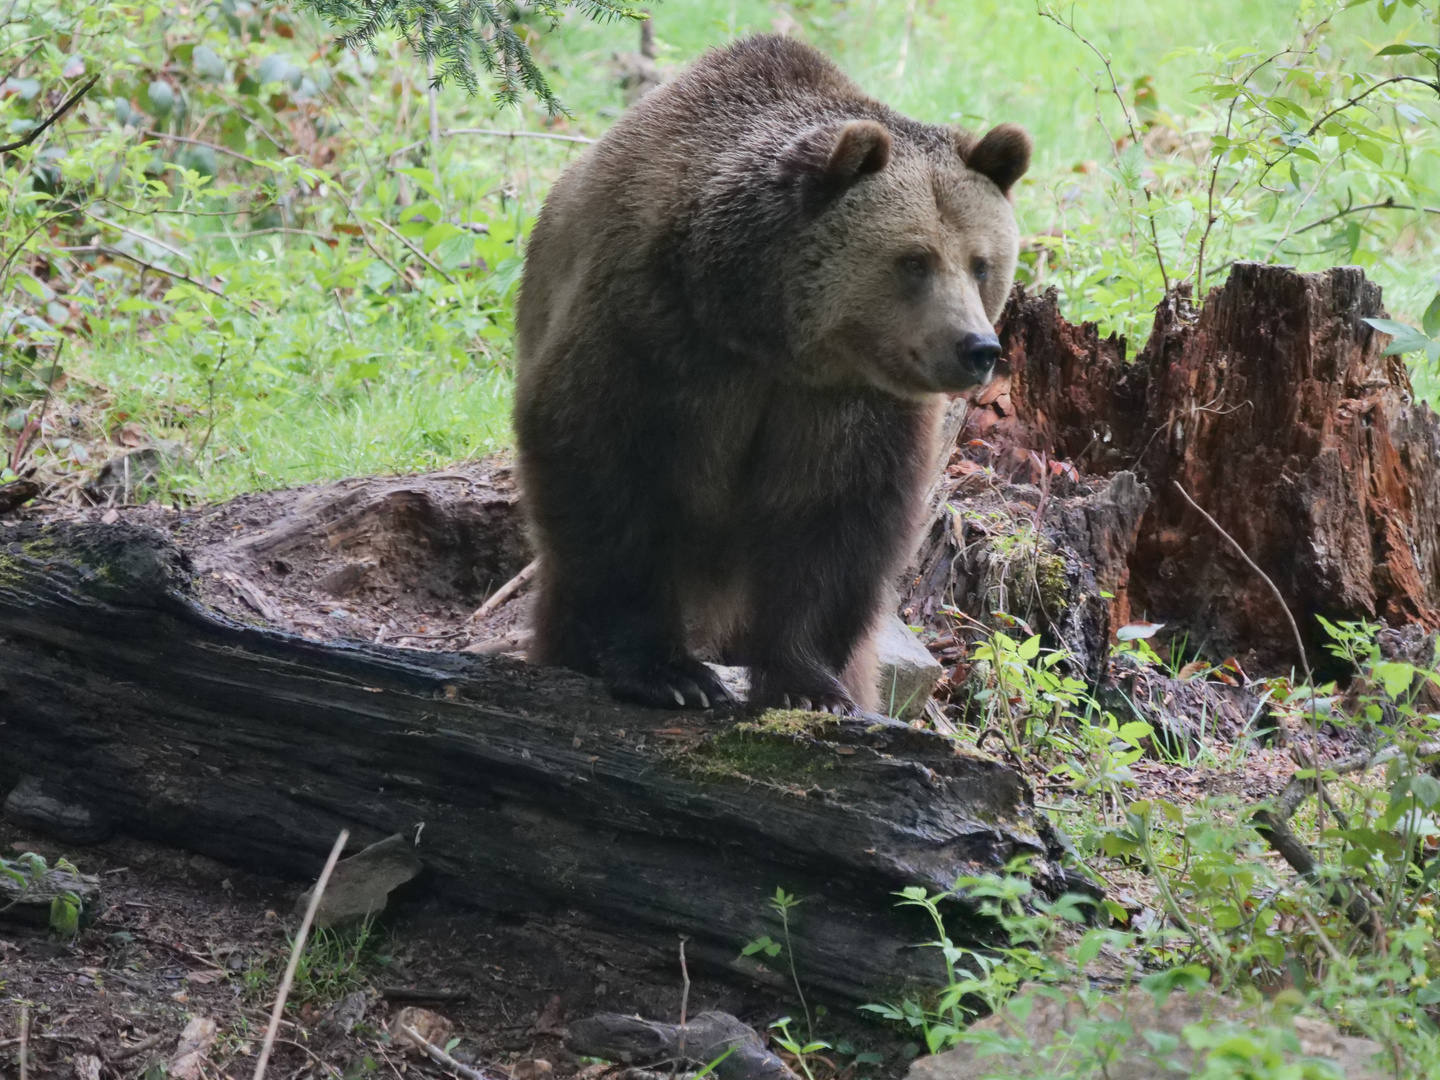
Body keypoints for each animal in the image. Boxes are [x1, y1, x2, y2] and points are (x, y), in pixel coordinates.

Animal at [512, 33, 1031, 714]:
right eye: (914, 261)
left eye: (981, 263)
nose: (978, 348)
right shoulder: (648, 325)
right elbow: (608, 467)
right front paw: (669, 673)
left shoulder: (845, 400)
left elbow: (832, 519)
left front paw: (809, 686)